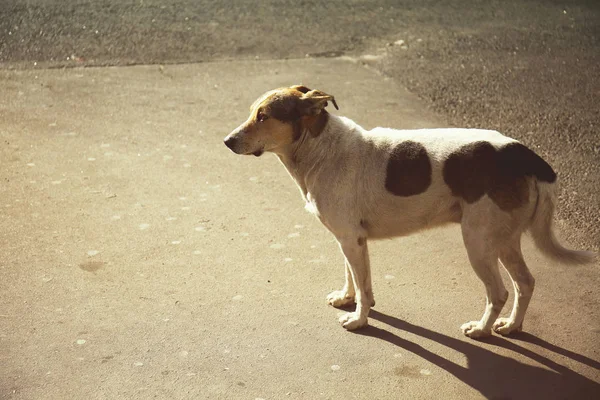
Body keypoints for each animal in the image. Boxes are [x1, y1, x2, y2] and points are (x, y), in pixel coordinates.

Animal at [224, 84, 596, 338]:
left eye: (264, 116)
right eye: (252, 112)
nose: (227, 142)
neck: (322, 148)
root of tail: (523, 153)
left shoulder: (351, 240)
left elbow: (364, 288)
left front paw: (359, 319)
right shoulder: (348, 240)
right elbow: (353, 278)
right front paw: (347, 298)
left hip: (479, 242)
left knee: (499, 291)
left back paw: (480, 329)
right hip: (504, 240)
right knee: (525, 283)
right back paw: (511, 326)